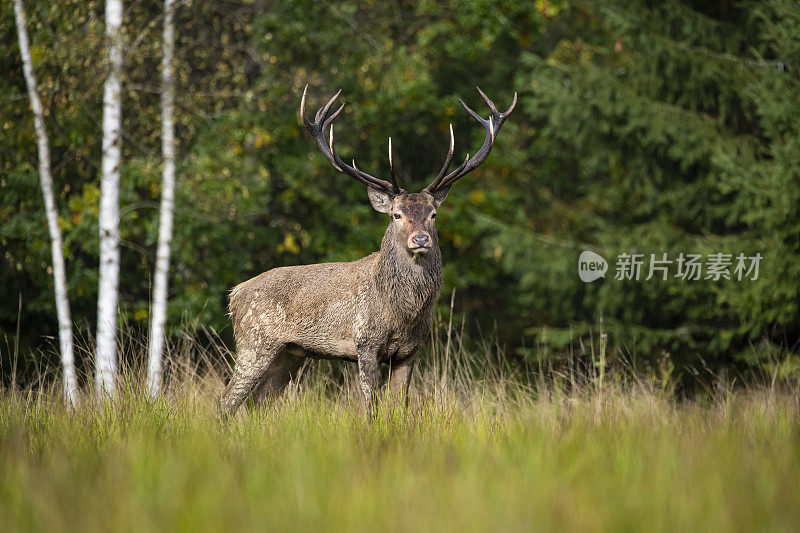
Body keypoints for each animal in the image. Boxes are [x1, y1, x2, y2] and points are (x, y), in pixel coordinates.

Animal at [219, 84, 520, 416]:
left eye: (433, 214)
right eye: (396, 214)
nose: (420, 239)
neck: (402, 313)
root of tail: (235, 294)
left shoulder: (409, 351)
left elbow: (399, 408)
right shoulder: (365, 344)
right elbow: (371, 410)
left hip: (289, 353)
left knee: (258, 403)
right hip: (254, 342)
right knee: (226, 401)